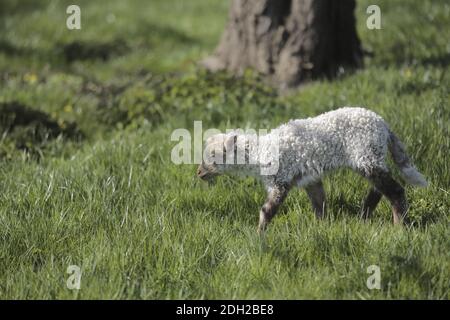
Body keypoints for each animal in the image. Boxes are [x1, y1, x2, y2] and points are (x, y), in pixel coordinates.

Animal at [198, 107, 428, 232]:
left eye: (213, 156)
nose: (199, 173)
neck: (260, 151)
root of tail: (383, 125)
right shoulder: (311, 179)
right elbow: (320, 206)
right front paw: (321, 230)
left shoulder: (280, 180)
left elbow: (267, 210)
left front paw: (259, 235)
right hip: (371, 158)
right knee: (380, 188)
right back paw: (364, 216)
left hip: (367, 155)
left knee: (395, 190)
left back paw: (399, 227)